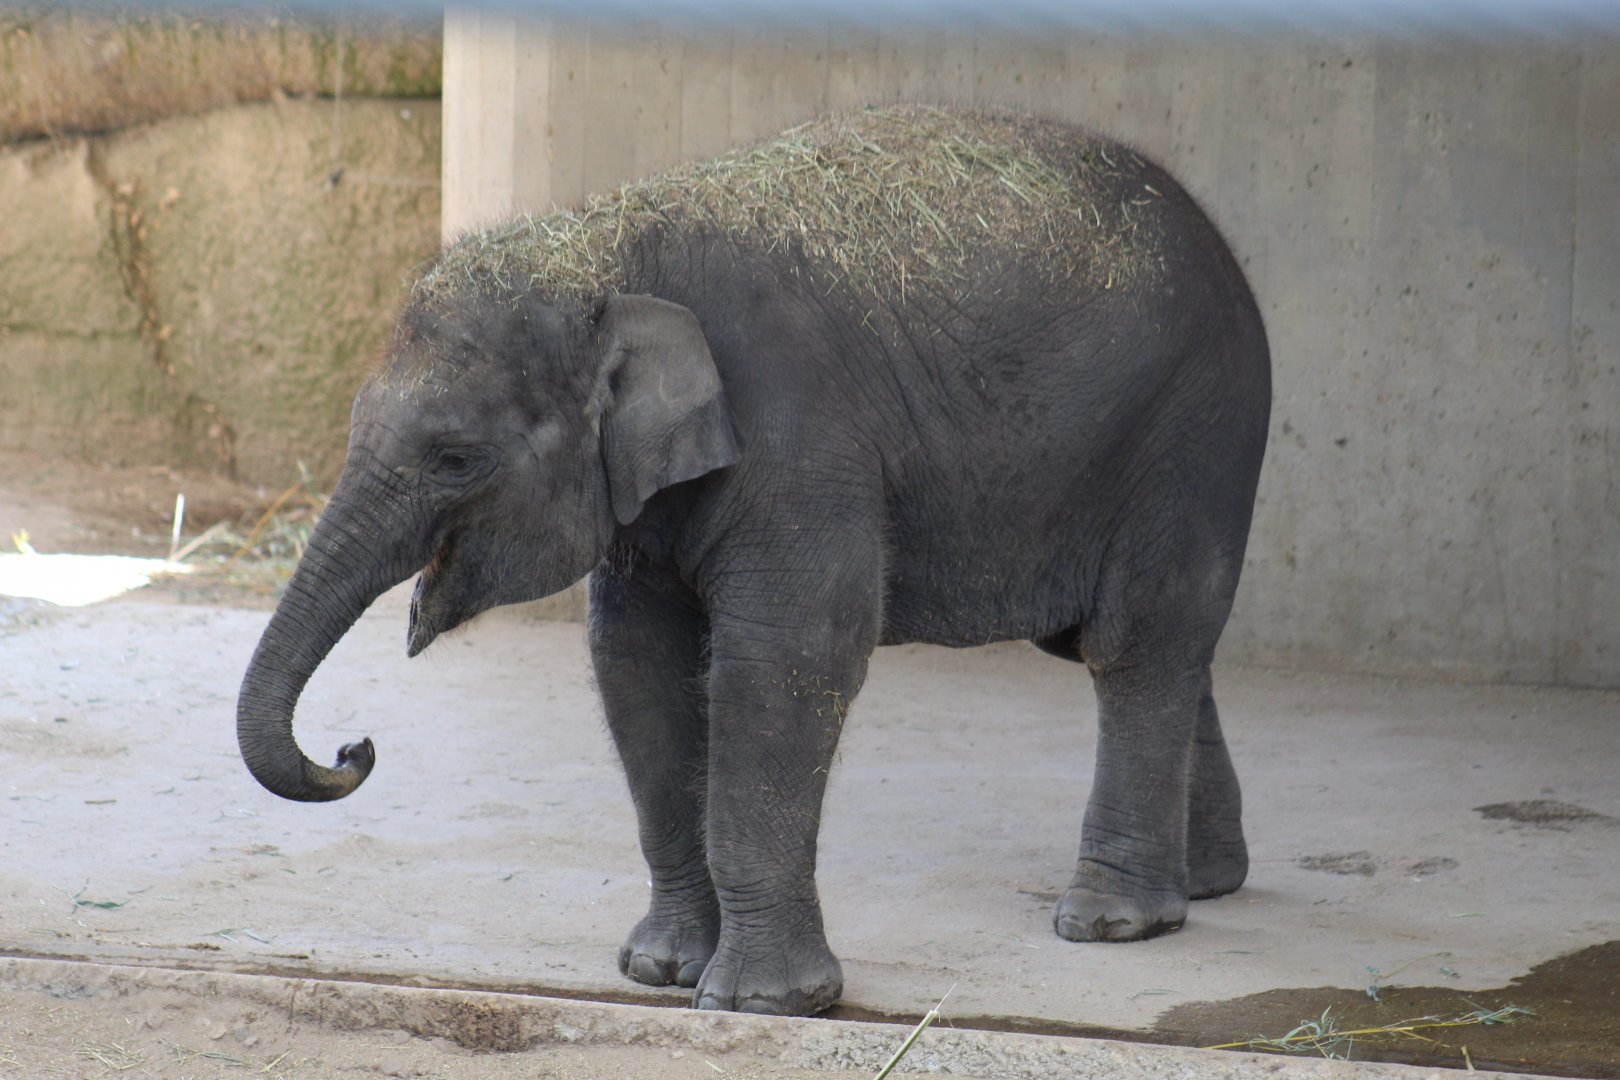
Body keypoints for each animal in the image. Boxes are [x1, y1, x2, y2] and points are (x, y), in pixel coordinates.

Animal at [237, 104, 1270, 1017]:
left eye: (453, 457)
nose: (354, 748)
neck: (607, 247)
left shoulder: (799, 435)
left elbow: (786, 659)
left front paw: (761, 1002)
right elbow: (637, 666)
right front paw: (658, 971)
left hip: (1194, 431)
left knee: (1136, 639)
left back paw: (1110, 921)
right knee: (1141, 642)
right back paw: (1204, 886)